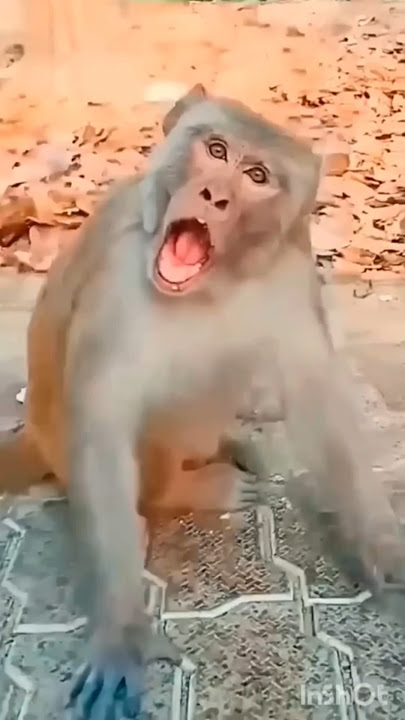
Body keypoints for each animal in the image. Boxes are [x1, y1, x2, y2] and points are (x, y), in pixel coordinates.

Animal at [0, 83, 404, 719]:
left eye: (257, 175)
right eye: (215, 150)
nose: (214, 195)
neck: (214, 284)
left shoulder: (291, 270)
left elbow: (318, 396)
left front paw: (386, 556)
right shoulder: (119, 274)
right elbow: (105, 423)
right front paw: (121, 634)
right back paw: (186, 489)